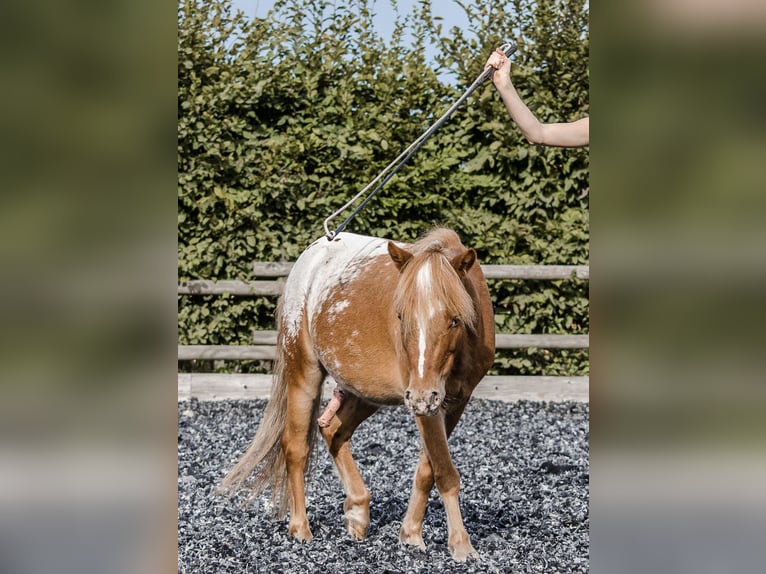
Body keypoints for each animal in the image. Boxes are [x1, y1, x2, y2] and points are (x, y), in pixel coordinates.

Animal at [220, 228, 498, 564]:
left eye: (455, 319)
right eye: (401, 316)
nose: (420, 396)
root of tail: (314, 253)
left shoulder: (453, 402)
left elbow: (427, 470)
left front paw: (410, 535)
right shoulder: (427, 405)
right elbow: (444, 471)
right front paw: (461, 544)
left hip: (366, 393)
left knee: (333, 431)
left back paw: (357, 511)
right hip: (304, 372)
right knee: (296, 448)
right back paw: (300, 527)